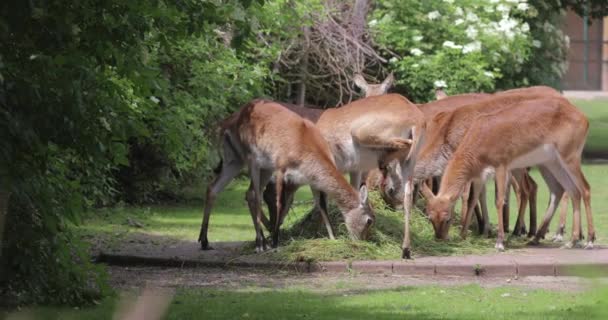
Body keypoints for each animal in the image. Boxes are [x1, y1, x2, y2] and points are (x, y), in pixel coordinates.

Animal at [422, 96, 592, 251]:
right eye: (430, 218)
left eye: (448, 218)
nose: (440, 238)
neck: (481, 134)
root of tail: (581, 115)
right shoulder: (479, 175)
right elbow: (472, 200)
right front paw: (463, 235)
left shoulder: (501, 167)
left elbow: (499, 201)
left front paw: (499, 242)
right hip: (553, 164)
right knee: (570, 191)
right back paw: (565, 241)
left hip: (569, 159)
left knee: (584, 189)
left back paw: (588, 240)